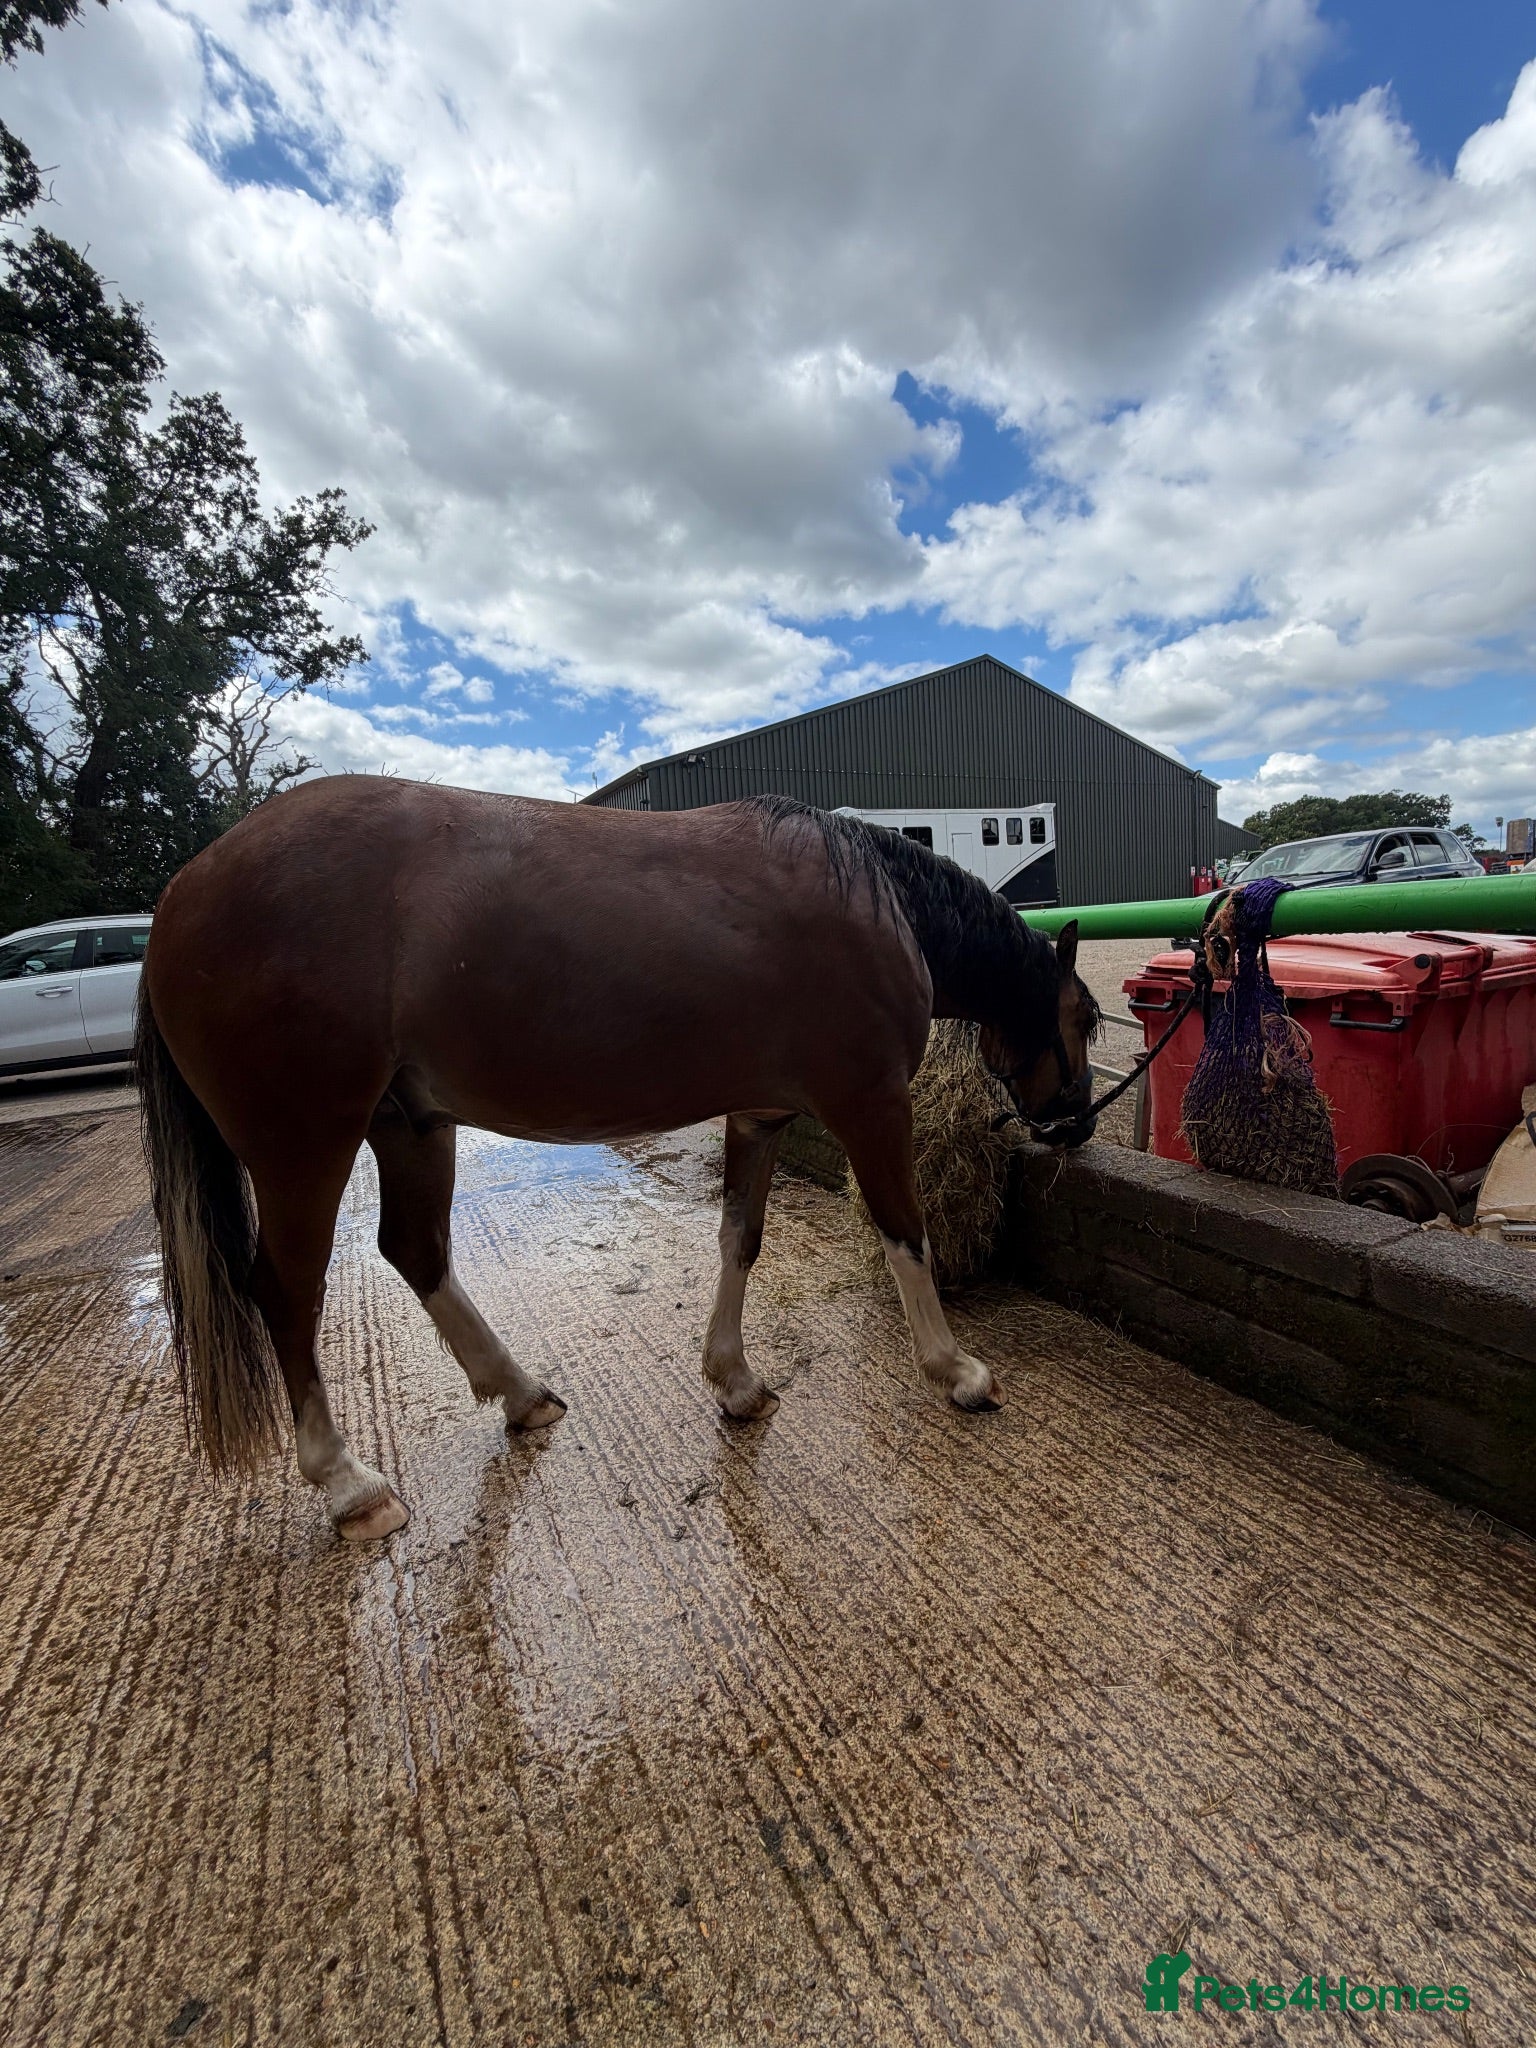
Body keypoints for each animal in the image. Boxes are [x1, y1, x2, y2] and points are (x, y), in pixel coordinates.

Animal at [135, 778, 1099, 1541]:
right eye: (1085, 1020)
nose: (1077, 1124)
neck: (873, 901)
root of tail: (180, 892)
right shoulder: (870, 1105)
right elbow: (906, 1234)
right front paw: (958, 1373)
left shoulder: (761, 1115)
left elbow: (740, 1239)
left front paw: (735, 1381)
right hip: (305, 1144)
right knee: (288, 1291)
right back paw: (349, 1486)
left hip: (410, 1126)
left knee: (415, 1251)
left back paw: (521, 1393)